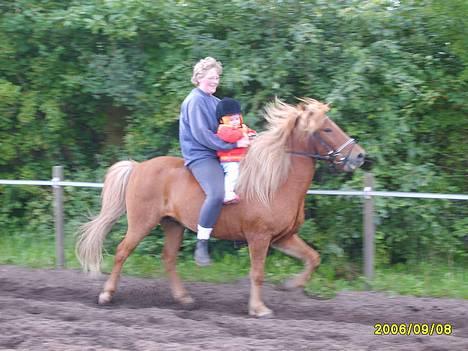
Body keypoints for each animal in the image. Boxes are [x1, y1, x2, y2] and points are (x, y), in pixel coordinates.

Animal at [76, 98, 366, 320]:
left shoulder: (283, 237)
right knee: (122, 252)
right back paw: (106, 294)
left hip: (173, 225)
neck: (276, 181)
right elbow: (257, 273)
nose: (360, 156)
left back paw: (184, 298)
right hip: (141, 222)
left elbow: (312, 258)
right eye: (326, 129)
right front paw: (259, 308)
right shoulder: (259, 238)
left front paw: (291, 285)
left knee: (168, 258)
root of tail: (138, 167)